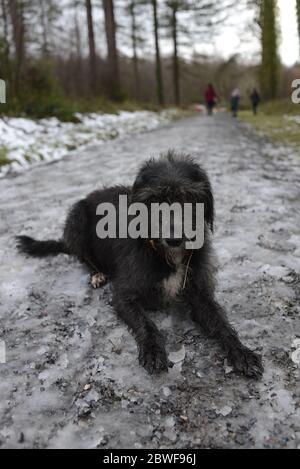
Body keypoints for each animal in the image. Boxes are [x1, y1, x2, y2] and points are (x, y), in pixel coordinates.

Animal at [17, 152, 264, 378]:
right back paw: (97, 274)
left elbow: (220, 322)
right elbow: (146, 324)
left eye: (189, 197)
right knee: (83, 257)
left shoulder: (199, 291)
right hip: (77, 217)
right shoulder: (123, 294)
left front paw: (241, 352)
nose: (174, 239)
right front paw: (153, 351)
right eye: (155, 199)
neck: (166, 254)